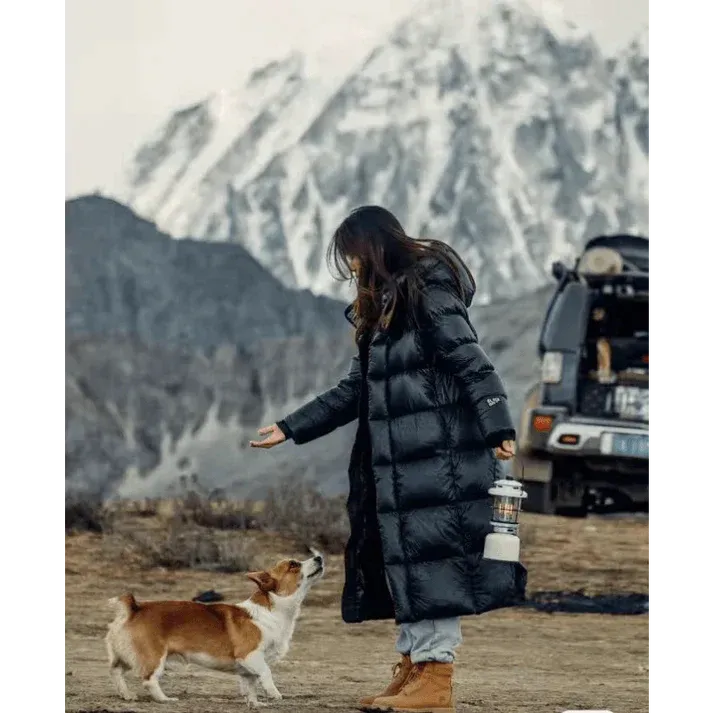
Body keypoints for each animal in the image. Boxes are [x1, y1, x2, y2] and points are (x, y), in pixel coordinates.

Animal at [104, 548, 324, 704]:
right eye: (293, 565)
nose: (319, 557)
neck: (273, 610)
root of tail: (134, 608)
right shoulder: (251, 656)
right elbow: (266, 673)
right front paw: (273, 694)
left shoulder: (248, 668)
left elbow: (250, 685)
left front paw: (254, 703)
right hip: (155, 657)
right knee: (148, 680)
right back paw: (165, 699)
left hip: (126, 656)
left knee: (115, 671)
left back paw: (126, 695)